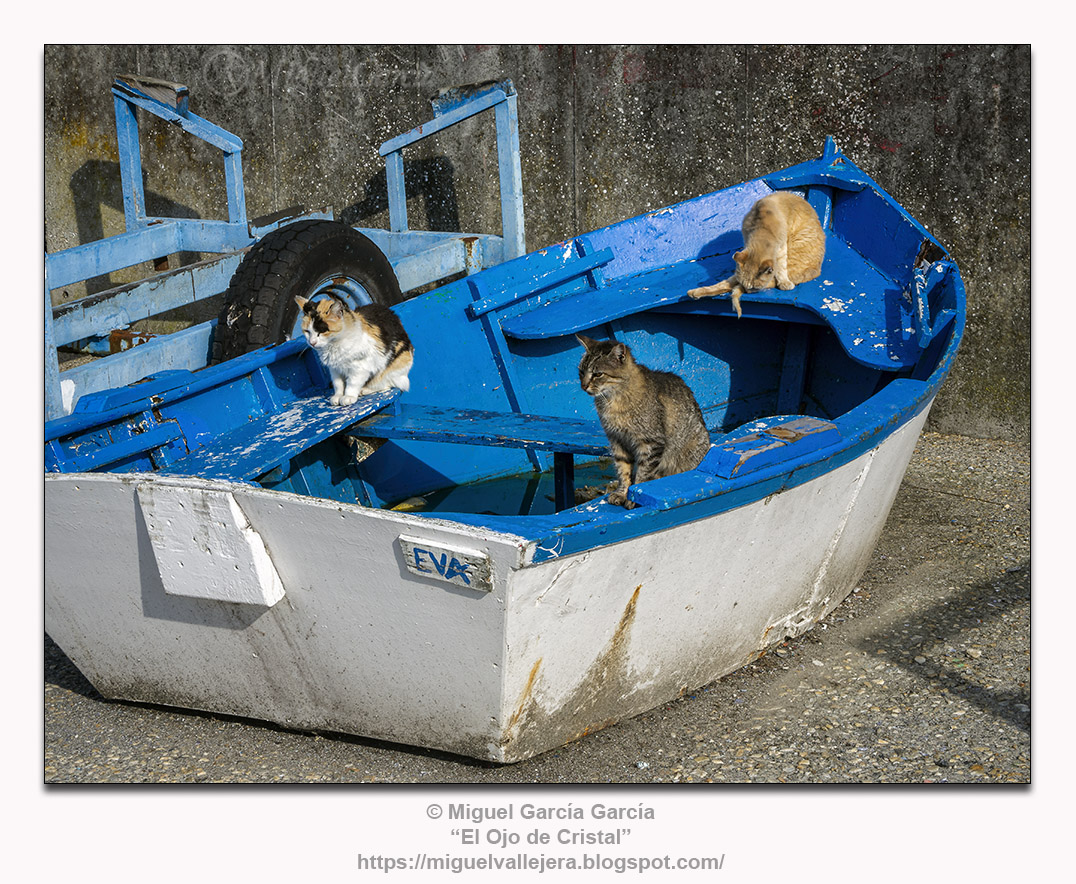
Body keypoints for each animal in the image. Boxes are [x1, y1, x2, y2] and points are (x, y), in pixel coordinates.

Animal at [576, 333, 710, 511]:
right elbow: (623, 471)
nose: (583, 386)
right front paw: (622, 492)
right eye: (581, 371)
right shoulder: (617, 440)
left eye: (598, 374)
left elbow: (643, 473)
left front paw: (635, 497)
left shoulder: (651, 442)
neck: (613, 402)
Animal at [684, 190, 826, 318]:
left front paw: (784, 282)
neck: (762, 227)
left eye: (754, 287)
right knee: (726, 284)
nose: (747, 291)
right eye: (748, 287)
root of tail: (817, 270)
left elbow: (781, 268)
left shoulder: (781, 248)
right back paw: (694, 293)